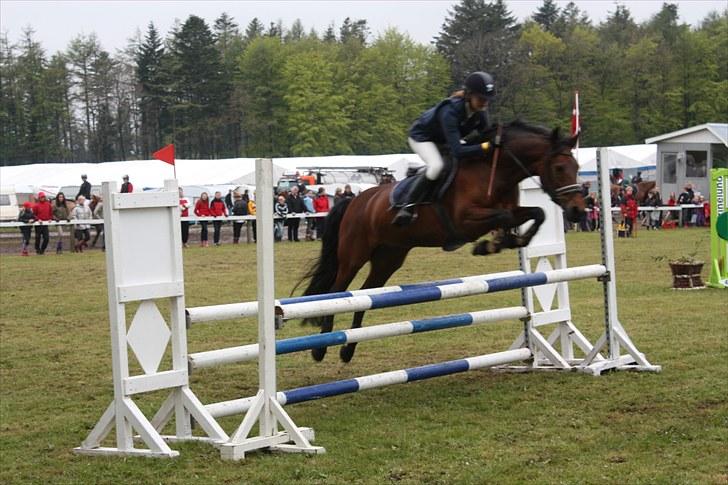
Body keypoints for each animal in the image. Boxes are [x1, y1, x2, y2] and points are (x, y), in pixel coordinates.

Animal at [296, 122, 584, 364]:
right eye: (559, 168)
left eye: (578, 169)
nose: (578, 211)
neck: (494, 170)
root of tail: (354, 200)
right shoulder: (466, 221)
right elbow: (503, 217)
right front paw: (490, 244)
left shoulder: (513, 210)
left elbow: (538, 212)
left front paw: (511, 240)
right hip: (354, 255)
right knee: (339, 291)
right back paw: (320, 348)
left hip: (389, 258)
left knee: (366, 295)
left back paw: (348, 349)